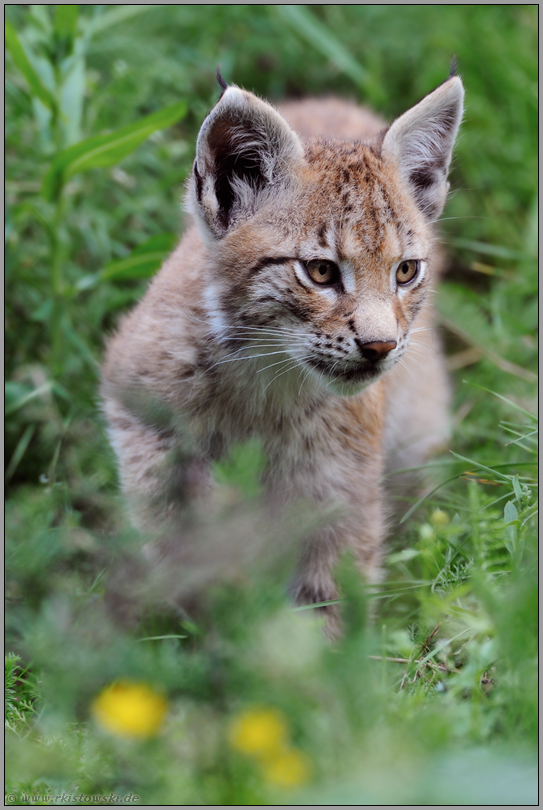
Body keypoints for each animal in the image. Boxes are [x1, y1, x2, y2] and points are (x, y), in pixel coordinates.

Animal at [101, 69, 464, 632]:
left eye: (405, 271)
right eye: (320, 272)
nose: (380, 346)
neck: (269, 370)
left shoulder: (343, 485)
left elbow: (330, 598)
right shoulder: (134, 405)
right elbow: (174, 520)